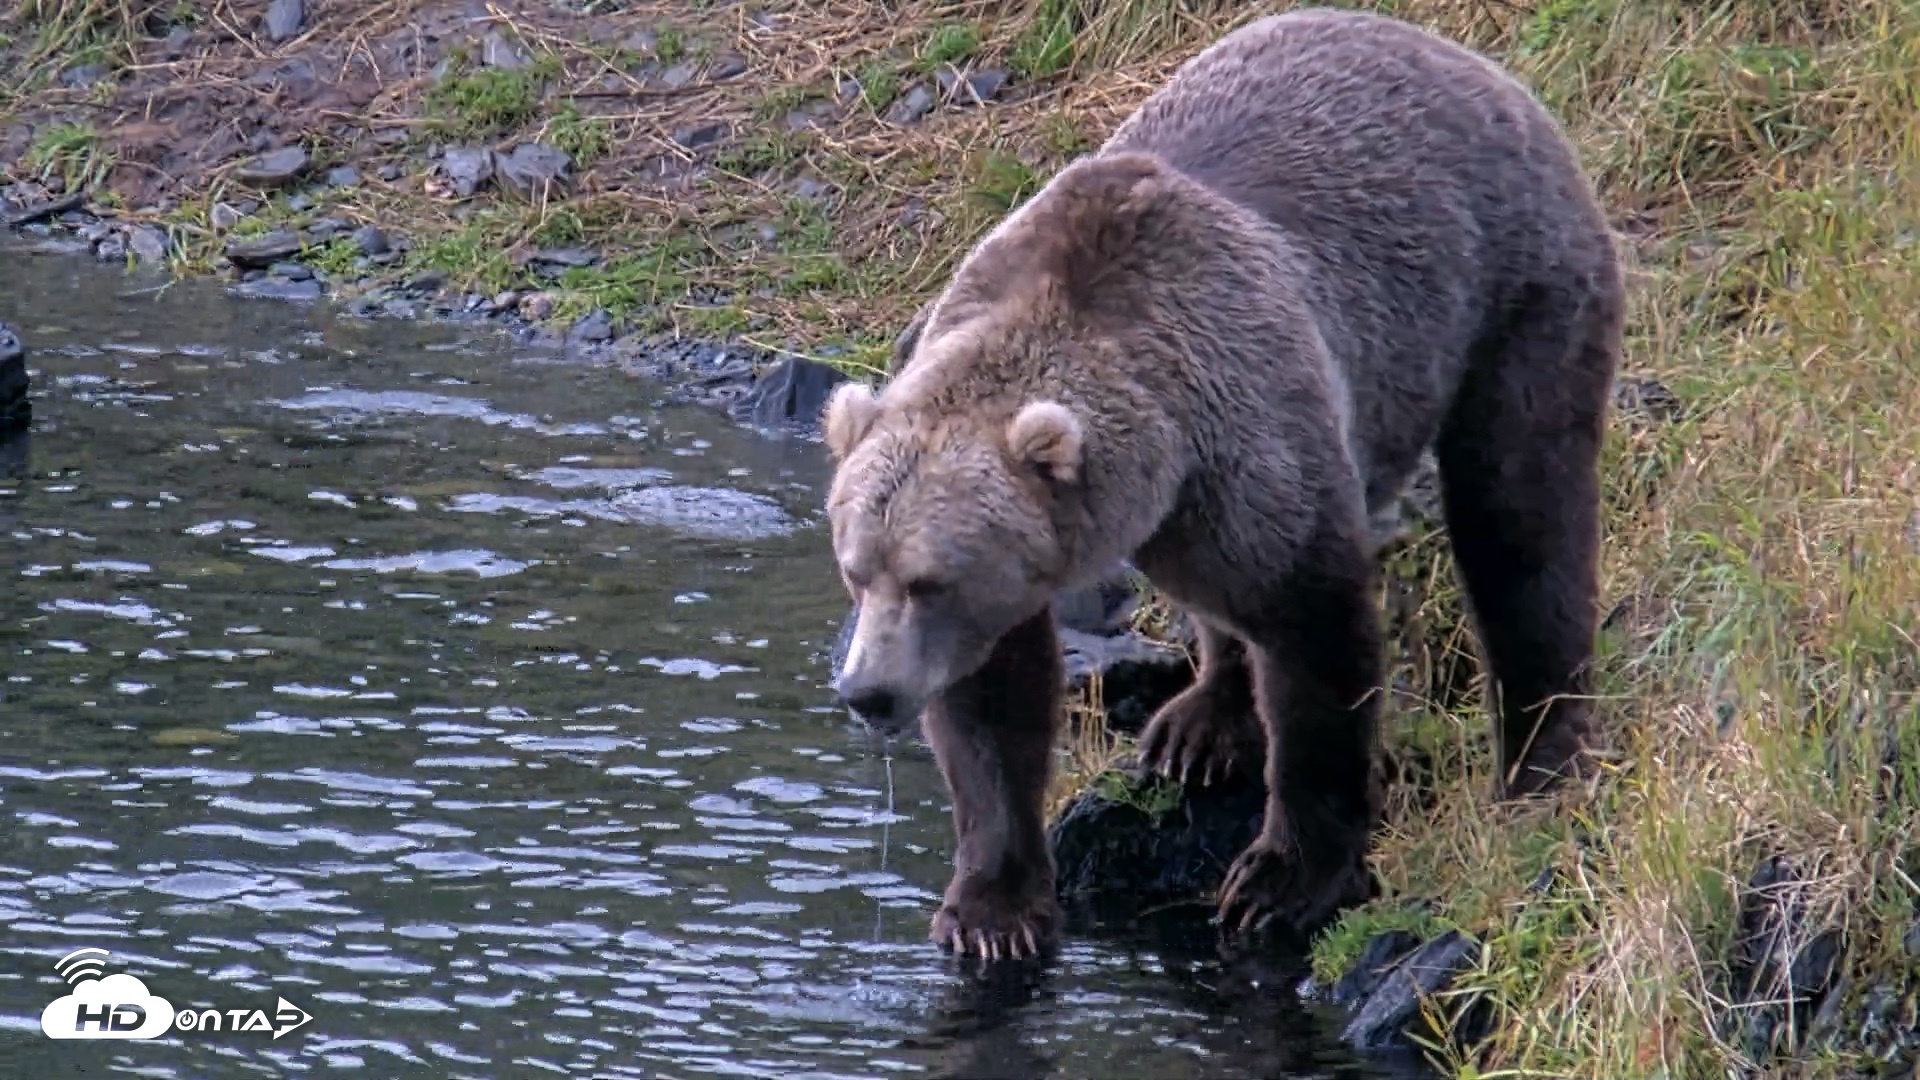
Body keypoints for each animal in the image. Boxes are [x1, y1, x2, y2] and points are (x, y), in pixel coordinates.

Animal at [820, 6, 1625, 961]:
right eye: (857, 571)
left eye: (927, 579)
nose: (867, 693)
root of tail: (1452, 53)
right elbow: (992, 708)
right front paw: (992, 909)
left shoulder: (1251, 431)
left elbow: (1316, 640)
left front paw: (1282, 879)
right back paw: (1202, 723)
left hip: (1517, 285)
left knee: (1522, 517)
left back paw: (1542, 754)